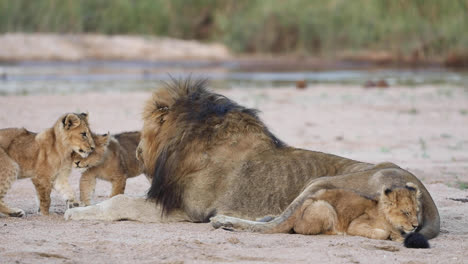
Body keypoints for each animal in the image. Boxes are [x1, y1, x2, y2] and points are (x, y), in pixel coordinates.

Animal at [64, 79, 440, 243]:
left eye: (142, 130)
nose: (139, 152)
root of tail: (426, 196)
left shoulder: (185, 210)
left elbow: (118, 203)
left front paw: (76, 213)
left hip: (320, 182)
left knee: (280, 224)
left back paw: (227, 222)